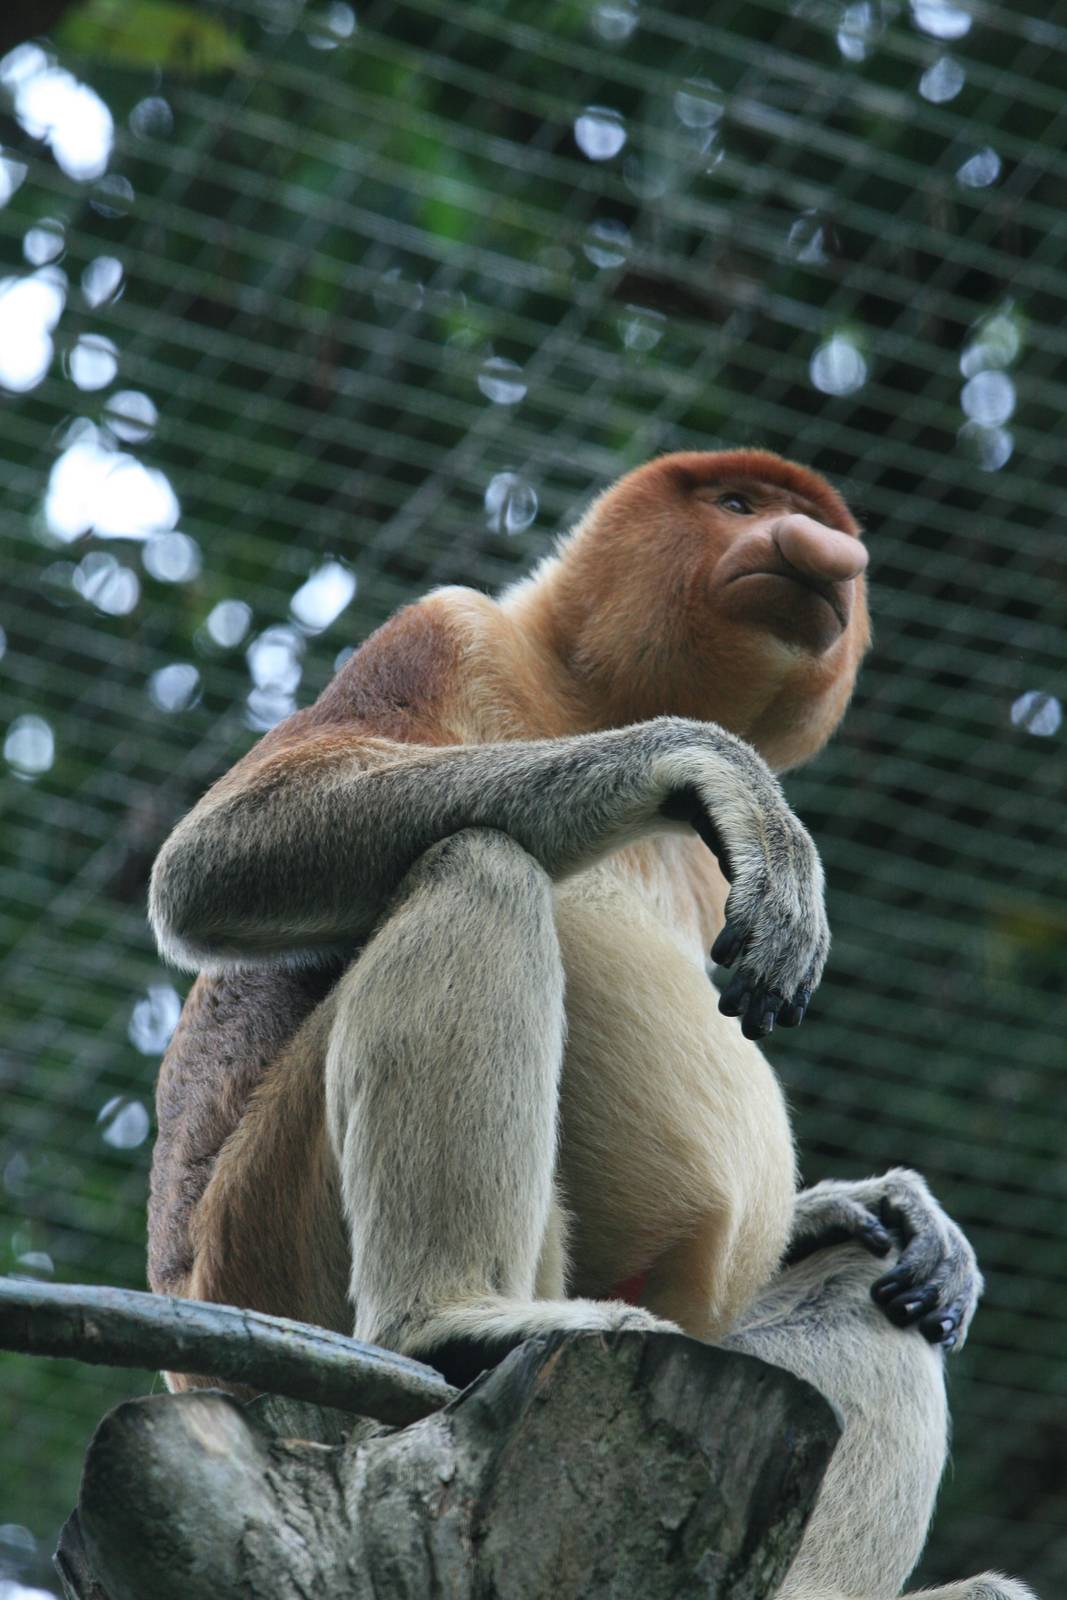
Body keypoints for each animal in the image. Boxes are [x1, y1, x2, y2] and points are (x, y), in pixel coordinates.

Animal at [147, 450, 1035, 1600]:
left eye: (811, 519)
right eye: (738, 504)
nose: (822, 554)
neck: (585, 687)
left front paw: (878, 1203)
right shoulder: (447, 631)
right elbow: (219, 855)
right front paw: (710, 768)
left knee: (871, 1288)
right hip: (272, 1256)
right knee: (477, 862)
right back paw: (456, 1325)